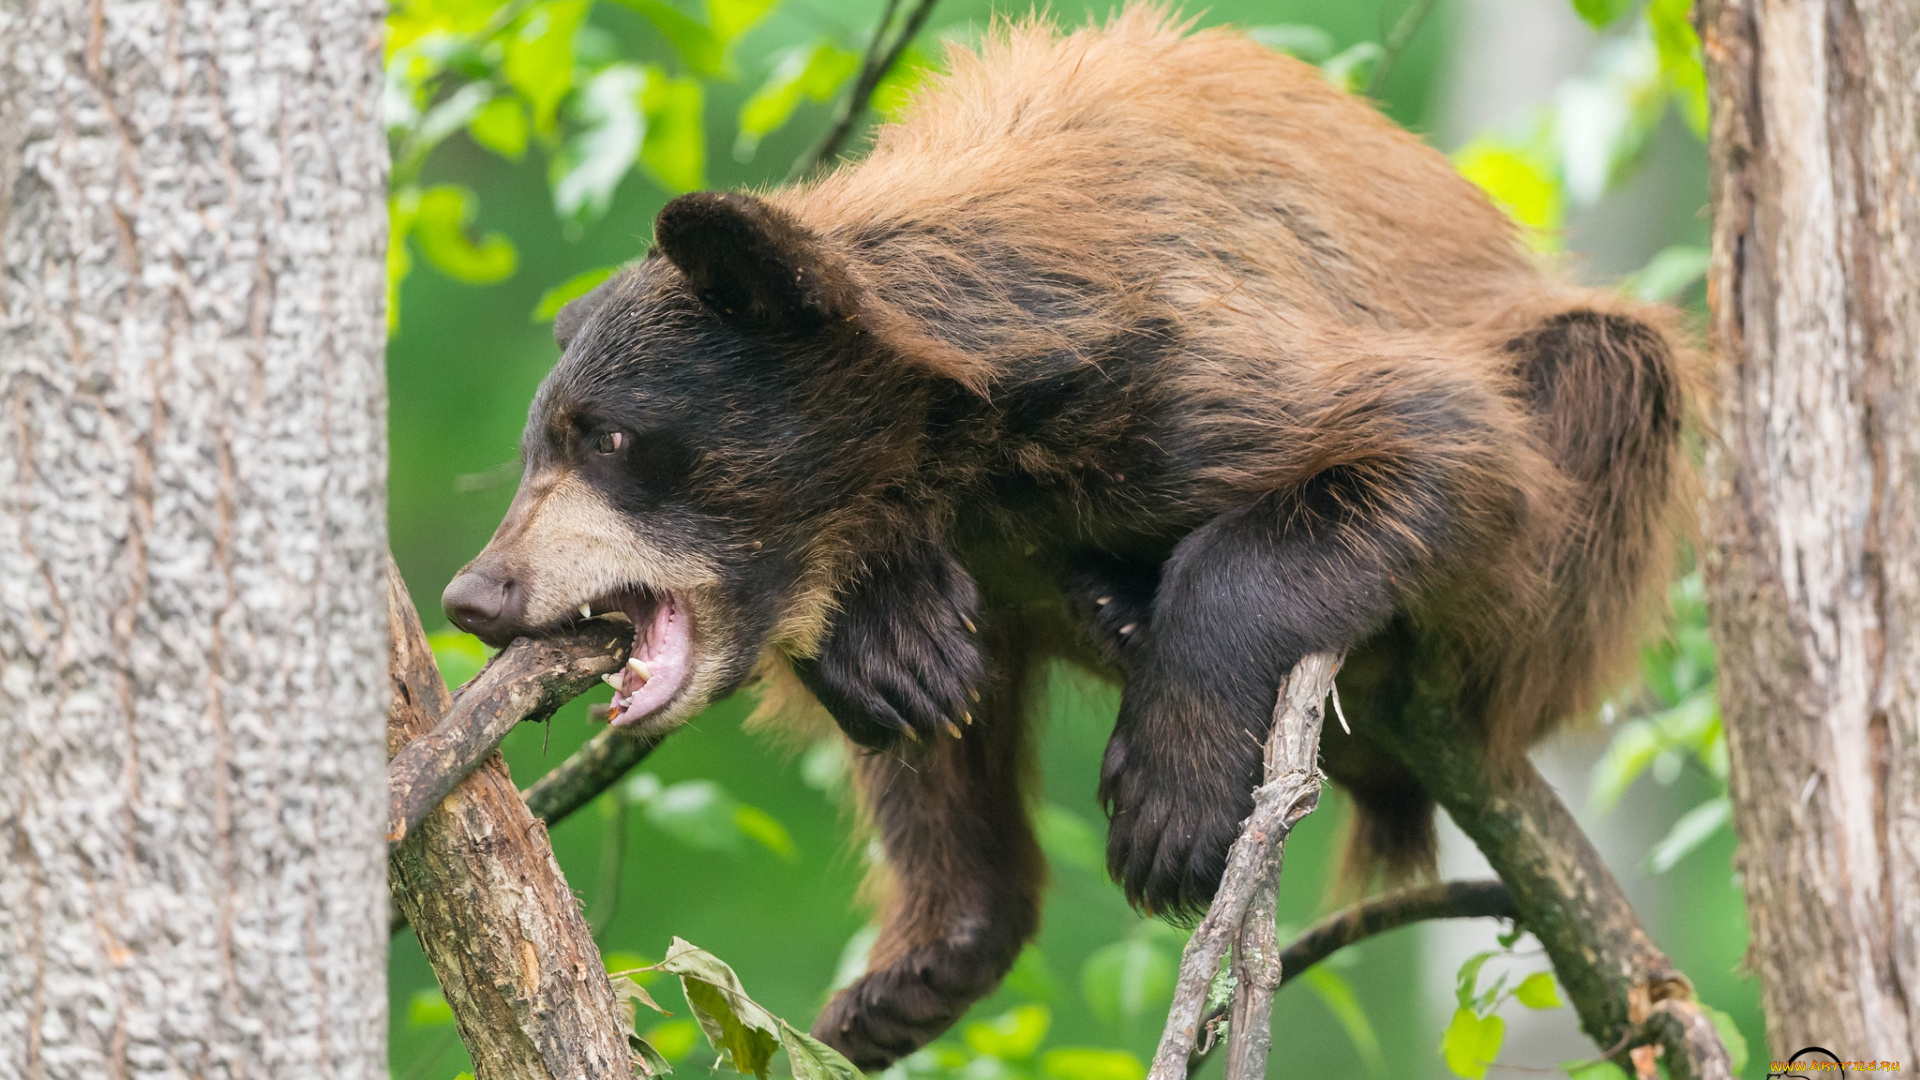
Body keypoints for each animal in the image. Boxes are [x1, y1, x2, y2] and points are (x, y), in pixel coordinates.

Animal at [439, 6, 1697, 1068]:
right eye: (537, 446)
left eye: (609, 437)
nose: (474, 596)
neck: (964, 448)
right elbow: (902, 682)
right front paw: (888, 634)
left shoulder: (1174, 368)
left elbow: (1441, 448)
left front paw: (1168, 811)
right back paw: (920, 961)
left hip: (1592, 487)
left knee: (1596, 376)